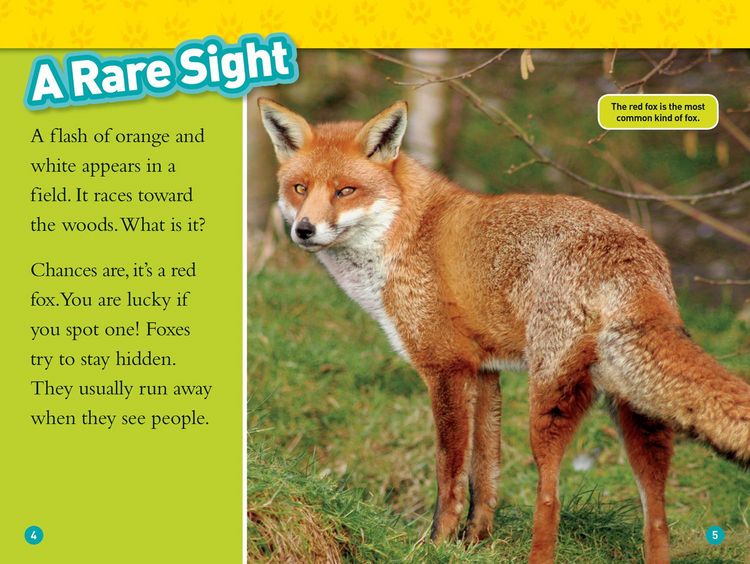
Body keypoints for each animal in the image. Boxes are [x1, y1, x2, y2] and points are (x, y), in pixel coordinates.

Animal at [258, 98, 750, 563]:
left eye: (345, 191)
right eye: (300, 188)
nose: (304, 229)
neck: (403, 234)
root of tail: (633, 250)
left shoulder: (446, 368)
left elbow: (450, 474)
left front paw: (436, 544)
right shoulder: (484, 371)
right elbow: (485, 473)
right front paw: (474, 541)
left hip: (547, 402)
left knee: (550, 498)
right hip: (637, 413)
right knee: (657, 518)